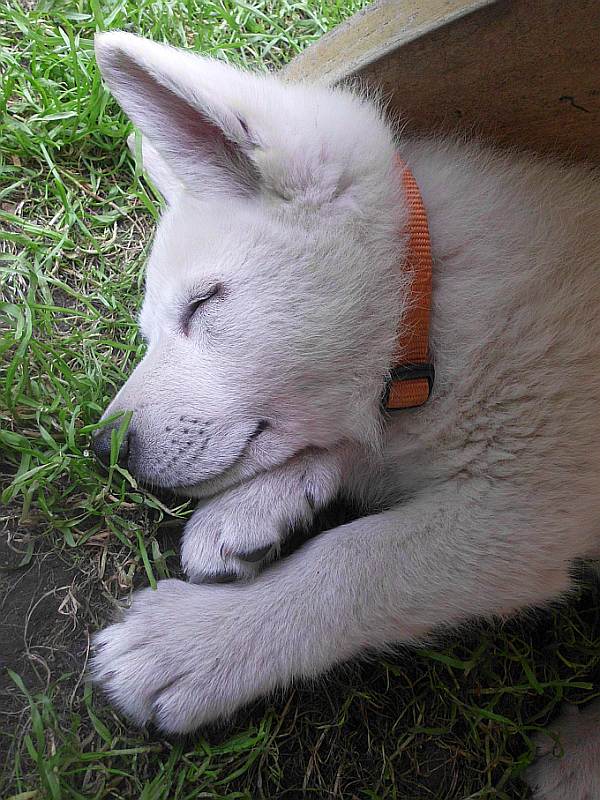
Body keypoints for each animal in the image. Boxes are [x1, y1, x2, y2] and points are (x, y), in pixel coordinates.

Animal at [90, 32, 600, 800]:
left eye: (205, 304)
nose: (102, 448)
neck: (430, 307)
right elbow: (358, 441)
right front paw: (255, 508)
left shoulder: (526, 507)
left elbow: (354, 563)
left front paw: (198, 643)